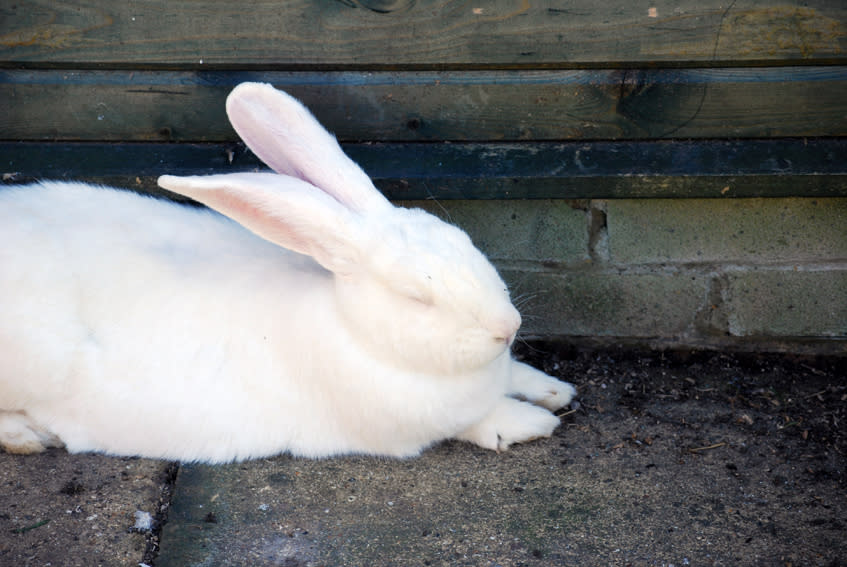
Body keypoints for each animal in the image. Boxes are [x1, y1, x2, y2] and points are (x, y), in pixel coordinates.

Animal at [0, 82, 576, 462]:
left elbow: (520, 376)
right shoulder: (406, 429)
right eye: (416, 296)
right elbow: (481, 421)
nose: (507, 328)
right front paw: (534, 422)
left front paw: (556, 391)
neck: (352, 329)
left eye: (466, 243)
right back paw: (31, 438)